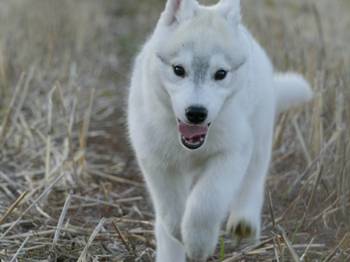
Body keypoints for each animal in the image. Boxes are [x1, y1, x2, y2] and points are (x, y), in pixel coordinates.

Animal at [127, 0, 314, 260]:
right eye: (178, 69)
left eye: (221, 74)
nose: (196, 112)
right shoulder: (155, 158)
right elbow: (171, 207)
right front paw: (179, 231)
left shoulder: (233, 152)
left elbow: (207, 201)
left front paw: (198, 243)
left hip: (259, 136)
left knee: (254, 177)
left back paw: (244, 222)